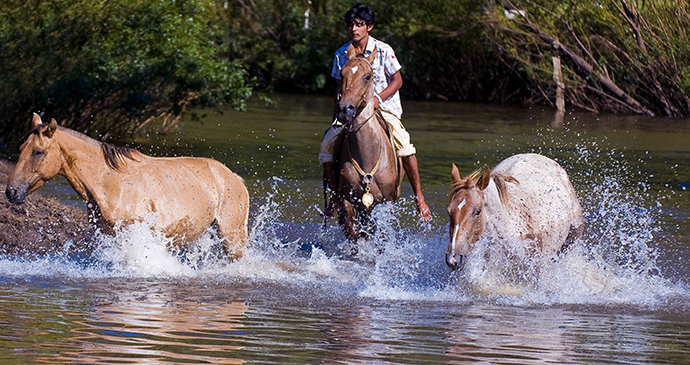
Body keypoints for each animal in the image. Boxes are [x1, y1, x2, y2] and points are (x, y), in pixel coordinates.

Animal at [5, 114, 249, 258]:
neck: (110, 182)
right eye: (21, 147)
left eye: (38, 152)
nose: (11, 192)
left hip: (233, 237)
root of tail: (234, 177)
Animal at [332, 46, 400, 245]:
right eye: (342, 73)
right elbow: (353, 232)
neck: (368, 159)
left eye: (368, 76)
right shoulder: (347, 199)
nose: (345, 109)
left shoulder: (387, 203)